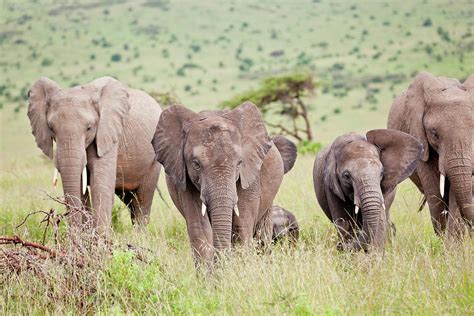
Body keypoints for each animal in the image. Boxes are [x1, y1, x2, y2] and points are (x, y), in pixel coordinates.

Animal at [27, 76, 162, 235]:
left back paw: (139, 236)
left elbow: (100, 183)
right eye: (51, 128)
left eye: (89, 128)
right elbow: (80, 186)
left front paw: (101, 240)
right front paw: (85, 237)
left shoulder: (108, 132)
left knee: (142, 200)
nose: (72, 235)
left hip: (153, 161)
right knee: (130, 200)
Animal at [153, 102, 296, 270]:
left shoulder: (250, 175)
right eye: (195, 164)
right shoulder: (182, 177)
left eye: (239, 163)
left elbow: (241, 229)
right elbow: (201, 230)